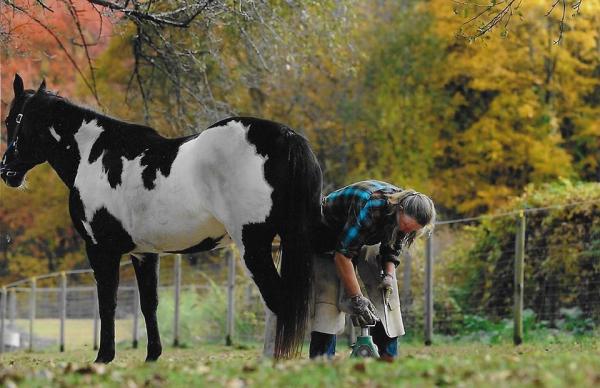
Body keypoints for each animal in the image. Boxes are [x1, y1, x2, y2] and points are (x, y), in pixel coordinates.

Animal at [1, 74, 324, 362]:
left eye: (13, 120)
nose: (7, 172)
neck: (93, 155)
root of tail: (287, 137)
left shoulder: (101, 249)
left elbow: (107, 303)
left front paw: (104, 358)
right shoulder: (144, 253)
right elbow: (149, 304)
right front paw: (152, 356)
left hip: (252, 245)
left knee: (278, 300)